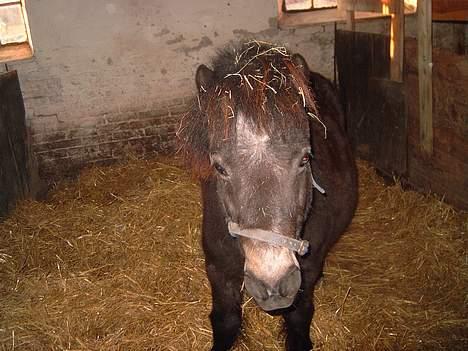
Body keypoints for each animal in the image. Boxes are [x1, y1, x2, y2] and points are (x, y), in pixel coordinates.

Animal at [177, 42, 356, 351]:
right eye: (219, 167)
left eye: (305, 159)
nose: (272, 284)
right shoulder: (217, 268)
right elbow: (225, 320)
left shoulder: (307, 271)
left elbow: (299, 318)